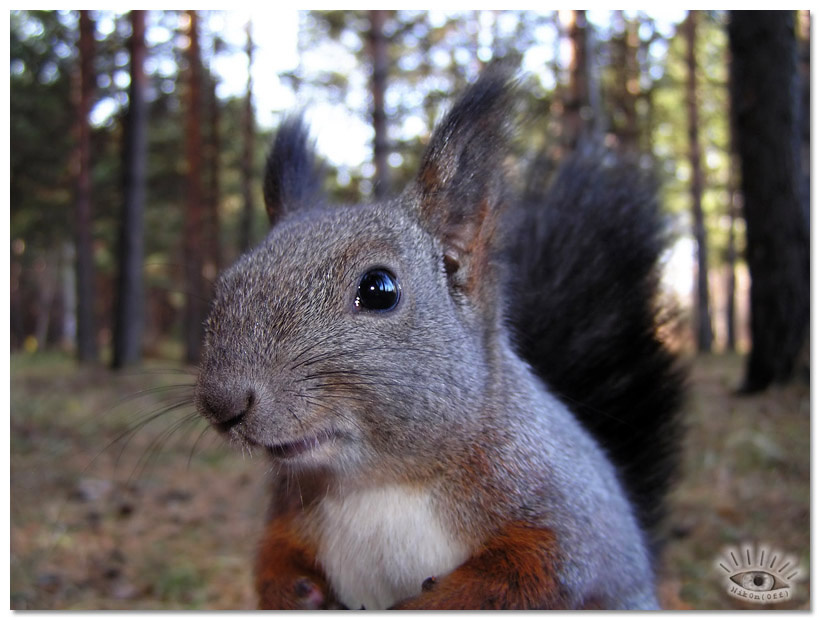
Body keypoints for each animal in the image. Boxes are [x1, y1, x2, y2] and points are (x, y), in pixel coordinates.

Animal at [194, 68, 684, 610]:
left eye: (379, 289)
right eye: (229, 279)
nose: (222, 403)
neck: (376, 485)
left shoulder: (566, 512)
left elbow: (534, 572)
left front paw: (429, 602)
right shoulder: (289, 516)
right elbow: (272, 559)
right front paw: (296, 591)